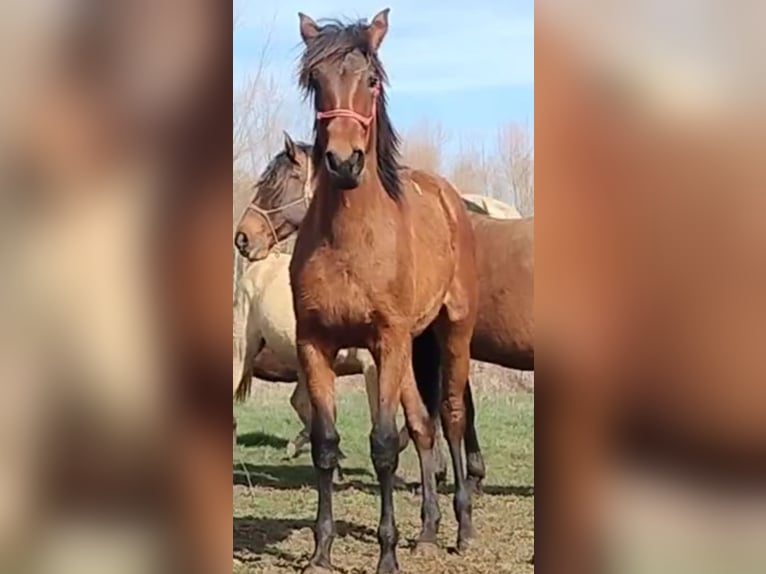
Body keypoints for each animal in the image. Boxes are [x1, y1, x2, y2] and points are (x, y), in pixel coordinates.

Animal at [290, 10, 479, 573]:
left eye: (371, 80)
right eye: (315, 81)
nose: (343, 162)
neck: (351, 241)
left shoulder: (386, 341)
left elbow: (383, 446)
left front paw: (387, 555)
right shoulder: (315, 344)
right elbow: (326, 444)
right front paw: (321, 552)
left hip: (450, 333)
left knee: (451, 417)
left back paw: (462, 529)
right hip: (414, 347)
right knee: (423, 425)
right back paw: (429, 532)